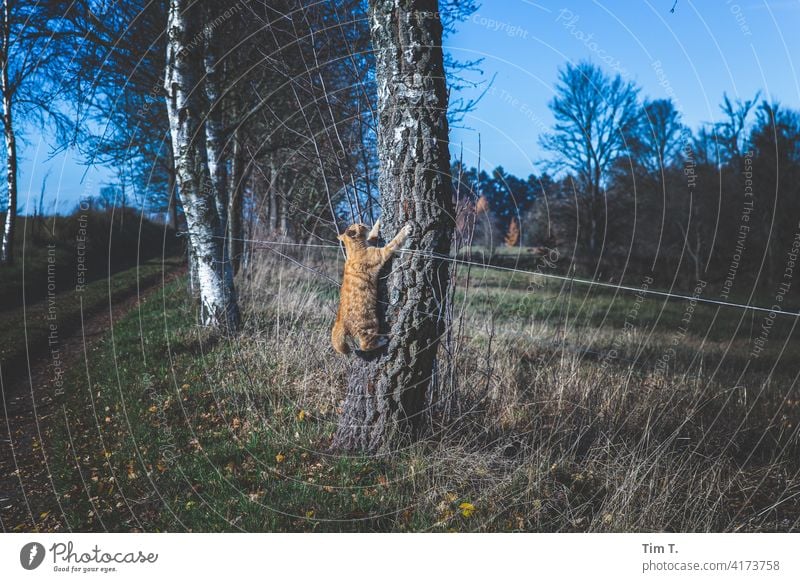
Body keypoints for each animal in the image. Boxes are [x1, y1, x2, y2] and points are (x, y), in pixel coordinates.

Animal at [332, 220, 412, 354]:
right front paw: (405, 229)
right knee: (365, 345)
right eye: (359, 225)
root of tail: (340, 320)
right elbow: (395, 241)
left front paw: (377, 222)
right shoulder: (382, 252)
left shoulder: (372, 243)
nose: (362, 222)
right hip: (370, 324)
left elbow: (373, 234)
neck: (354, 250)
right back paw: (382, 341)